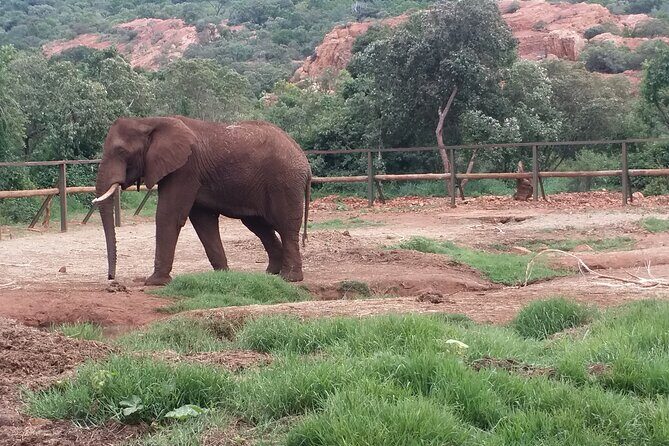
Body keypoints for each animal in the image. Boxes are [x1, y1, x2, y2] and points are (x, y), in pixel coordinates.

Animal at [93, 116, 312, 285]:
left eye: (121, 152)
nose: (111, 278)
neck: (148, 121)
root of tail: (303, 158)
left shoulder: (185, 168)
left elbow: (169, 215)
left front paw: (154, 282)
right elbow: (203, 221)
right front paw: (223, 276)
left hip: (284, 182)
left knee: (286, 226)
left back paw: (289, 278)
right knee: (258, 225)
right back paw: (270, 274)